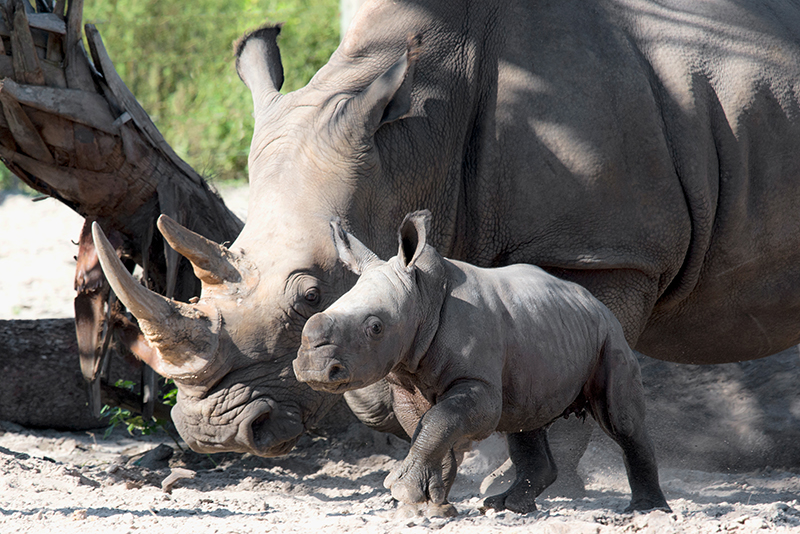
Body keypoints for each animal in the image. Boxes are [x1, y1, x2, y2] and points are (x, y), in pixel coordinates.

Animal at [295, 210, 670, 514]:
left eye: (375, 327)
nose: (314, 367)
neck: (423, 298)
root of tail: (593, 301)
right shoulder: (405, 383)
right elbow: (429, 428)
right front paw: (432, 505)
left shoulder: (477, 383)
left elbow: (441, 420)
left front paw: (406, 492)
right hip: (550, 331)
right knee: (525, 420)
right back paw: (508, 506)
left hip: (610, 335)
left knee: (621, 421)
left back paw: (646, 510)